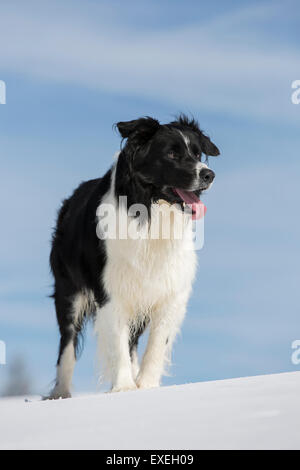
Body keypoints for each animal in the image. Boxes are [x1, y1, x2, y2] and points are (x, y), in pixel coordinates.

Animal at [48, 114, 218, 396]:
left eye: (197, 153)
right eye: (172, 154)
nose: (209, 174)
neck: (151, 214)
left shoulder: (170, 291)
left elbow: (157, 343)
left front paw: (146, 386)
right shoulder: (110, 290)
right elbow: (116, 342)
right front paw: (124, 388)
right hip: (68, 291)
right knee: (67, 341)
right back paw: (60, 394)